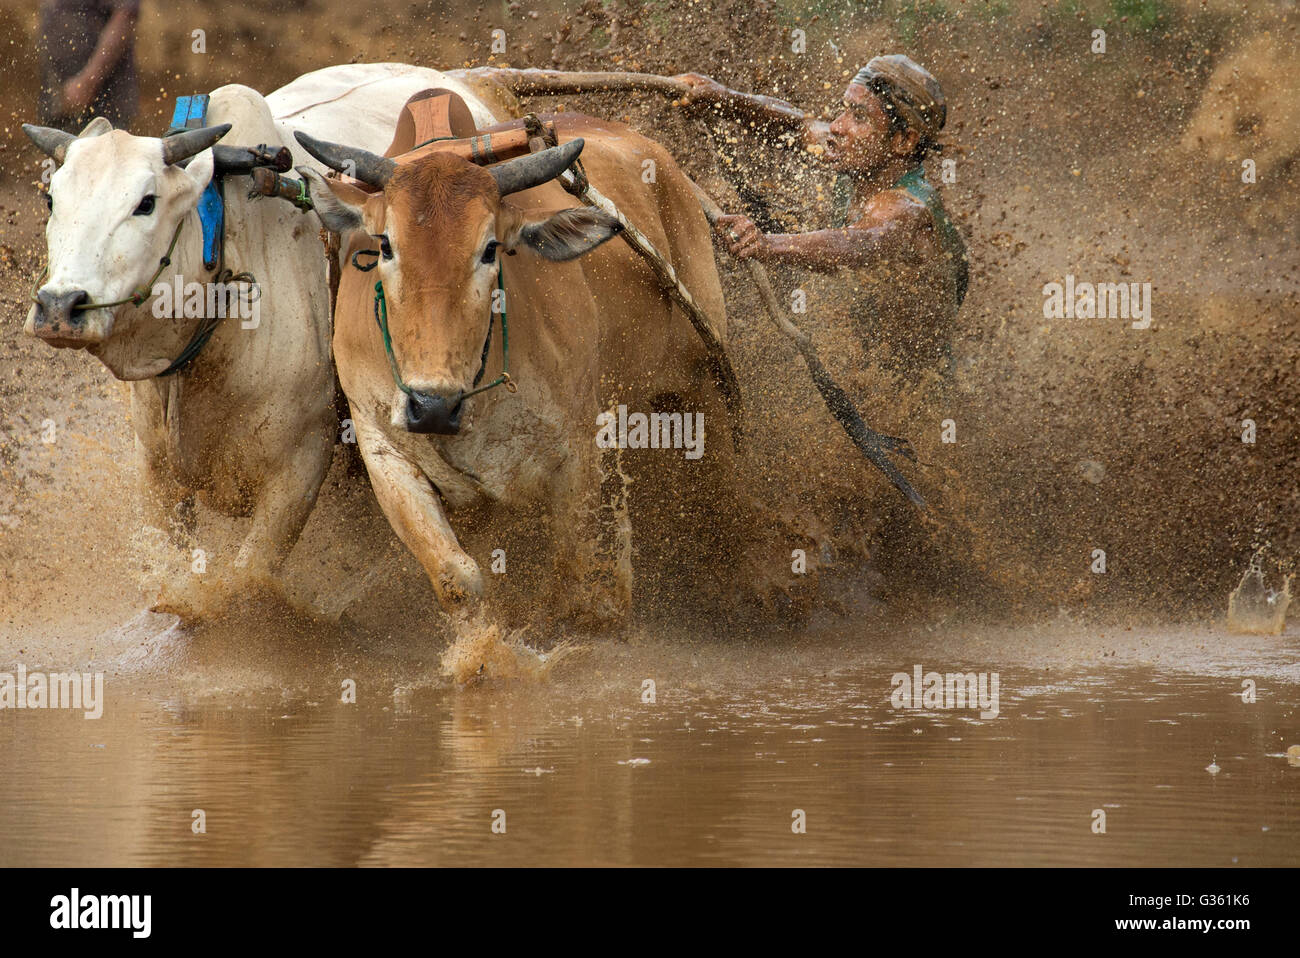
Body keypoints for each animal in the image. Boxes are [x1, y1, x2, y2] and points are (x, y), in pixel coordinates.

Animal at [21, 64, 508, 618]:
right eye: (52, 199)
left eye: (145, 203)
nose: (60, 307)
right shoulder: (156, 471)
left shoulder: (301, 467)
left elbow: (248, 578)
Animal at [294, 113, 736, 628]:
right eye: (385, 245)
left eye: (490, 249)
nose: (432, 407)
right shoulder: (380, 445)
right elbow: (457, 577)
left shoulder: (578, 451)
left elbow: (570, 577)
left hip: (704, 384)